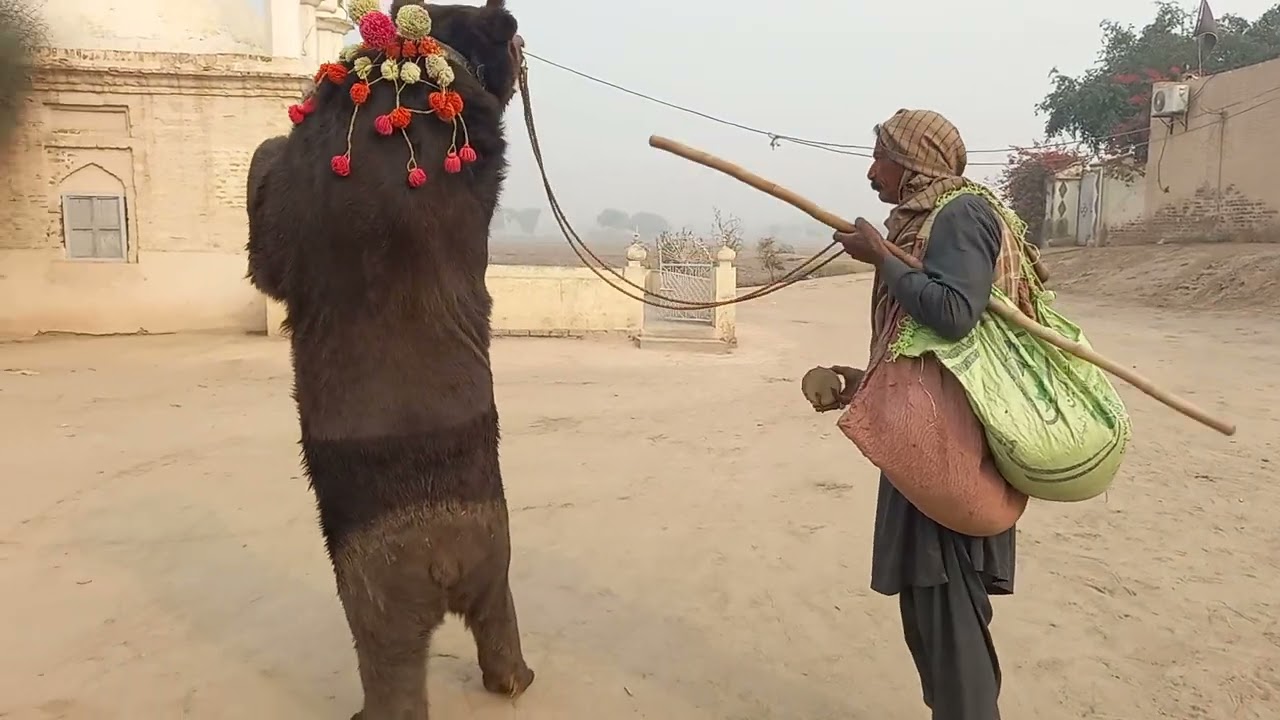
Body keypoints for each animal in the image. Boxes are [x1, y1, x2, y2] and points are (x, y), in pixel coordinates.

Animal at [245, 1, 533, 717]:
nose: (521, 41)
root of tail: (442, 557)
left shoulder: (293, 200)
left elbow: (267, 239)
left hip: (372, 594)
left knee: (389, 662)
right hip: (496, 562)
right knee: (499, 615)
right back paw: (515, 682)